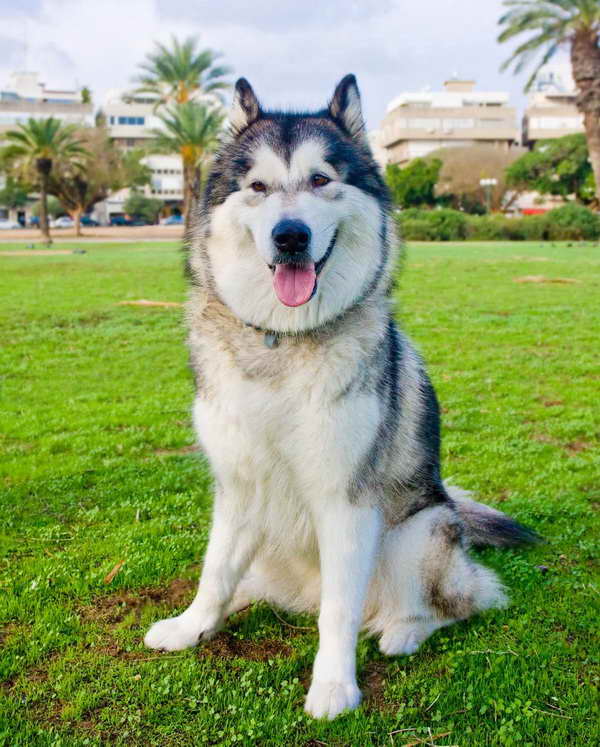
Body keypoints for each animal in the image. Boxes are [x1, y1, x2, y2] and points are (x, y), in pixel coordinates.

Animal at [145, 74, 540, 720]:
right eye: (257, 187)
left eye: (320, 180)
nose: (290, 236)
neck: (282, 340)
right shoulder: (237, 487)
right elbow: (214, 571)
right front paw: (191, 625)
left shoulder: (346, 500)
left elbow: (340, 611)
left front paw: (333, 686)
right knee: (256, 583)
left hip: (417, 532)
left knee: (460, 601)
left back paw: (402, 629)